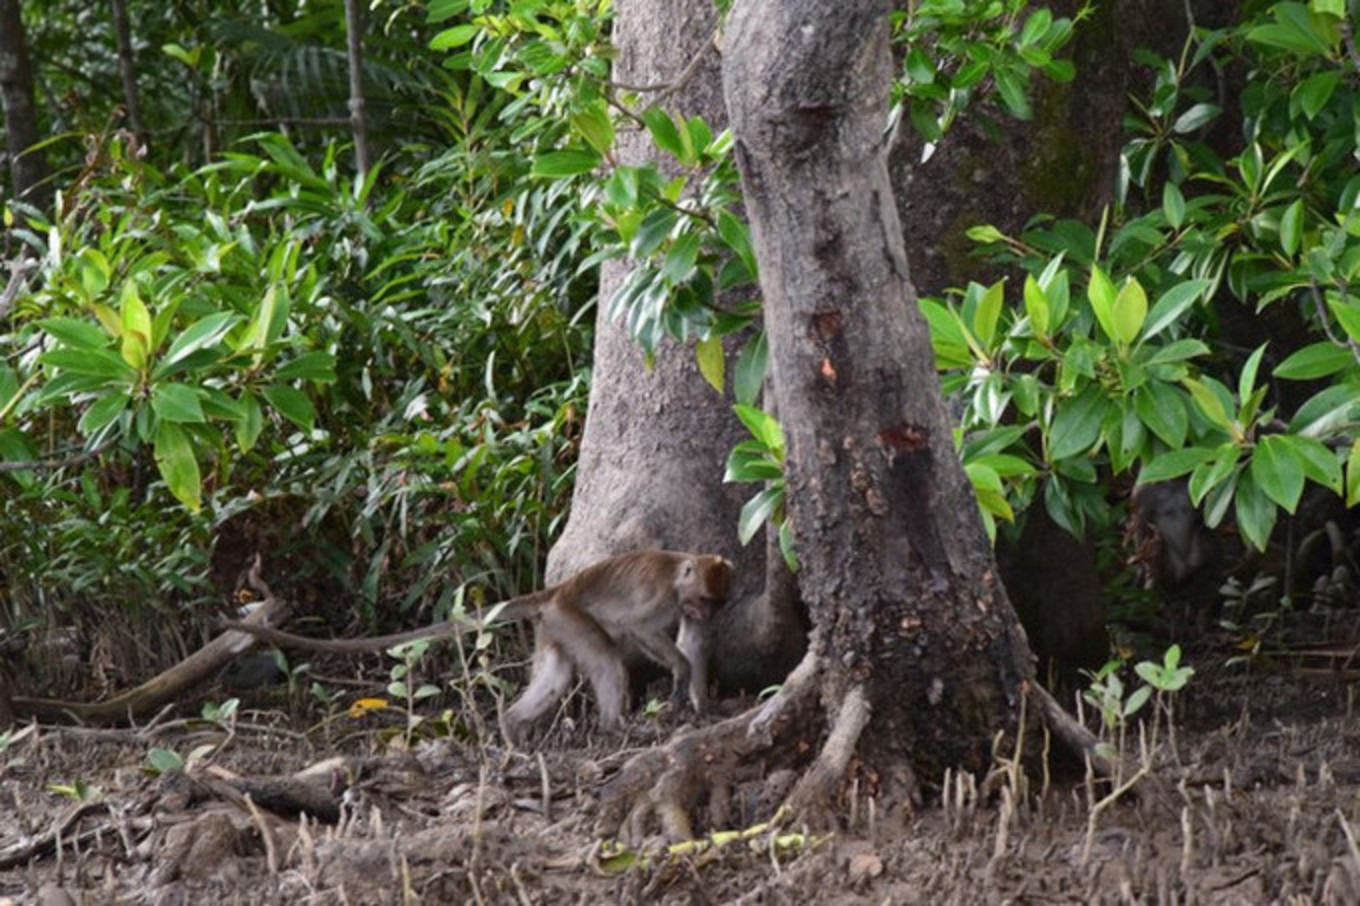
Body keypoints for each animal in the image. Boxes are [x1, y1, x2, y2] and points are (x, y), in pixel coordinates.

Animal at [231, 546, 734, 740]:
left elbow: (693, 646)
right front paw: (680, 677)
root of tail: (555, 592)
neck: (678, 575)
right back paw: (615, 729)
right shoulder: (658, 596)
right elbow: (638, 629)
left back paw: (511, 728)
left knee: (556, 676)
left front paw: (702, 705)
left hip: (554, 626)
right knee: (608, 662)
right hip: (570, 617)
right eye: (706, 599)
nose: (709, 614)